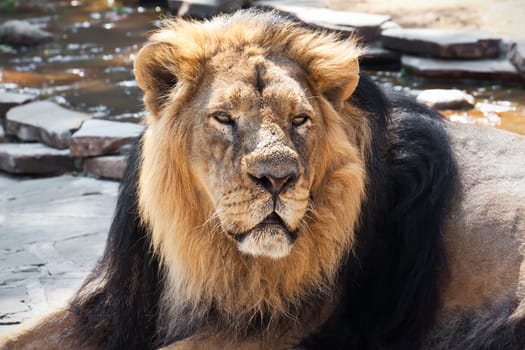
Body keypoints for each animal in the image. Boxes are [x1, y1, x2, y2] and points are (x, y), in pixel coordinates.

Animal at [3, 8, 524, 350]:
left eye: (299, 120)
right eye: (224, 118)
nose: (277, 178)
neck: (205, 254)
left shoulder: (297, 325)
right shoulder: (114, 301)